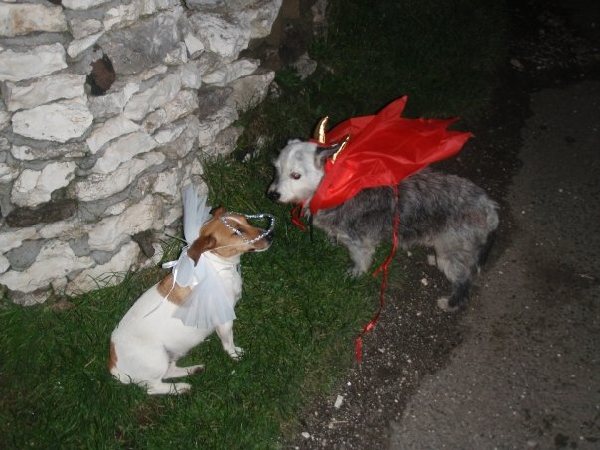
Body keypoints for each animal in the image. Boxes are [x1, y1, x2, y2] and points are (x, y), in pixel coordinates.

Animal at [109, 188, 274, 396]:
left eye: (247, 220)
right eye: (237, 232)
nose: (270, 236)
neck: (215, 266)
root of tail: (113, 364)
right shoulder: (225, 322)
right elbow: (229, 345)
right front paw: (235, 355)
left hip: (168, 357)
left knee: (170, 371)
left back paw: (193, 369)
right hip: (156, 359)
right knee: (154, 388)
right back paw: (180, 388)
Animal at [270, 139, 500, 312]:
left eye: (296, 175)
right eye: (277, 169)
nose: (272, 194)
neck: (334, 185)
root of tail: (489, 208)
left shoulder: (359, 242)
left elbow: (360, 260)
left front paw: (354, 274)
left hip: (454, 250)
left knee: (464, 280)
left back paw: (451, 303)